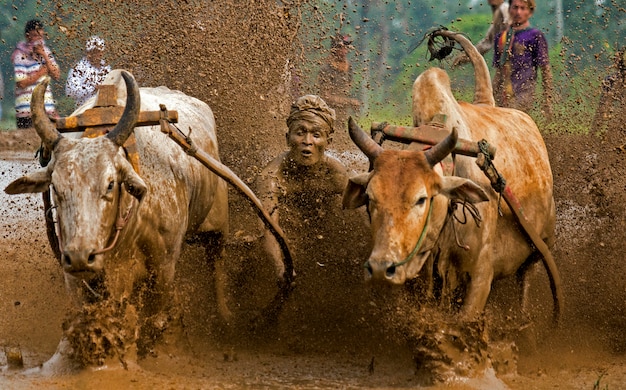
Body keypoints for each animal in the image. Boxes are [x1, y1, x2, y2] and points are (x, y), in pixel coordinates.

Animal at [342, 30, 560, 322]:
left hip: (539, 247)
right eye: (369, 198)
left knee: (525, 280)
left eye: (421, 199)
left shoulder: (480, 277)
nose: (380, 268)